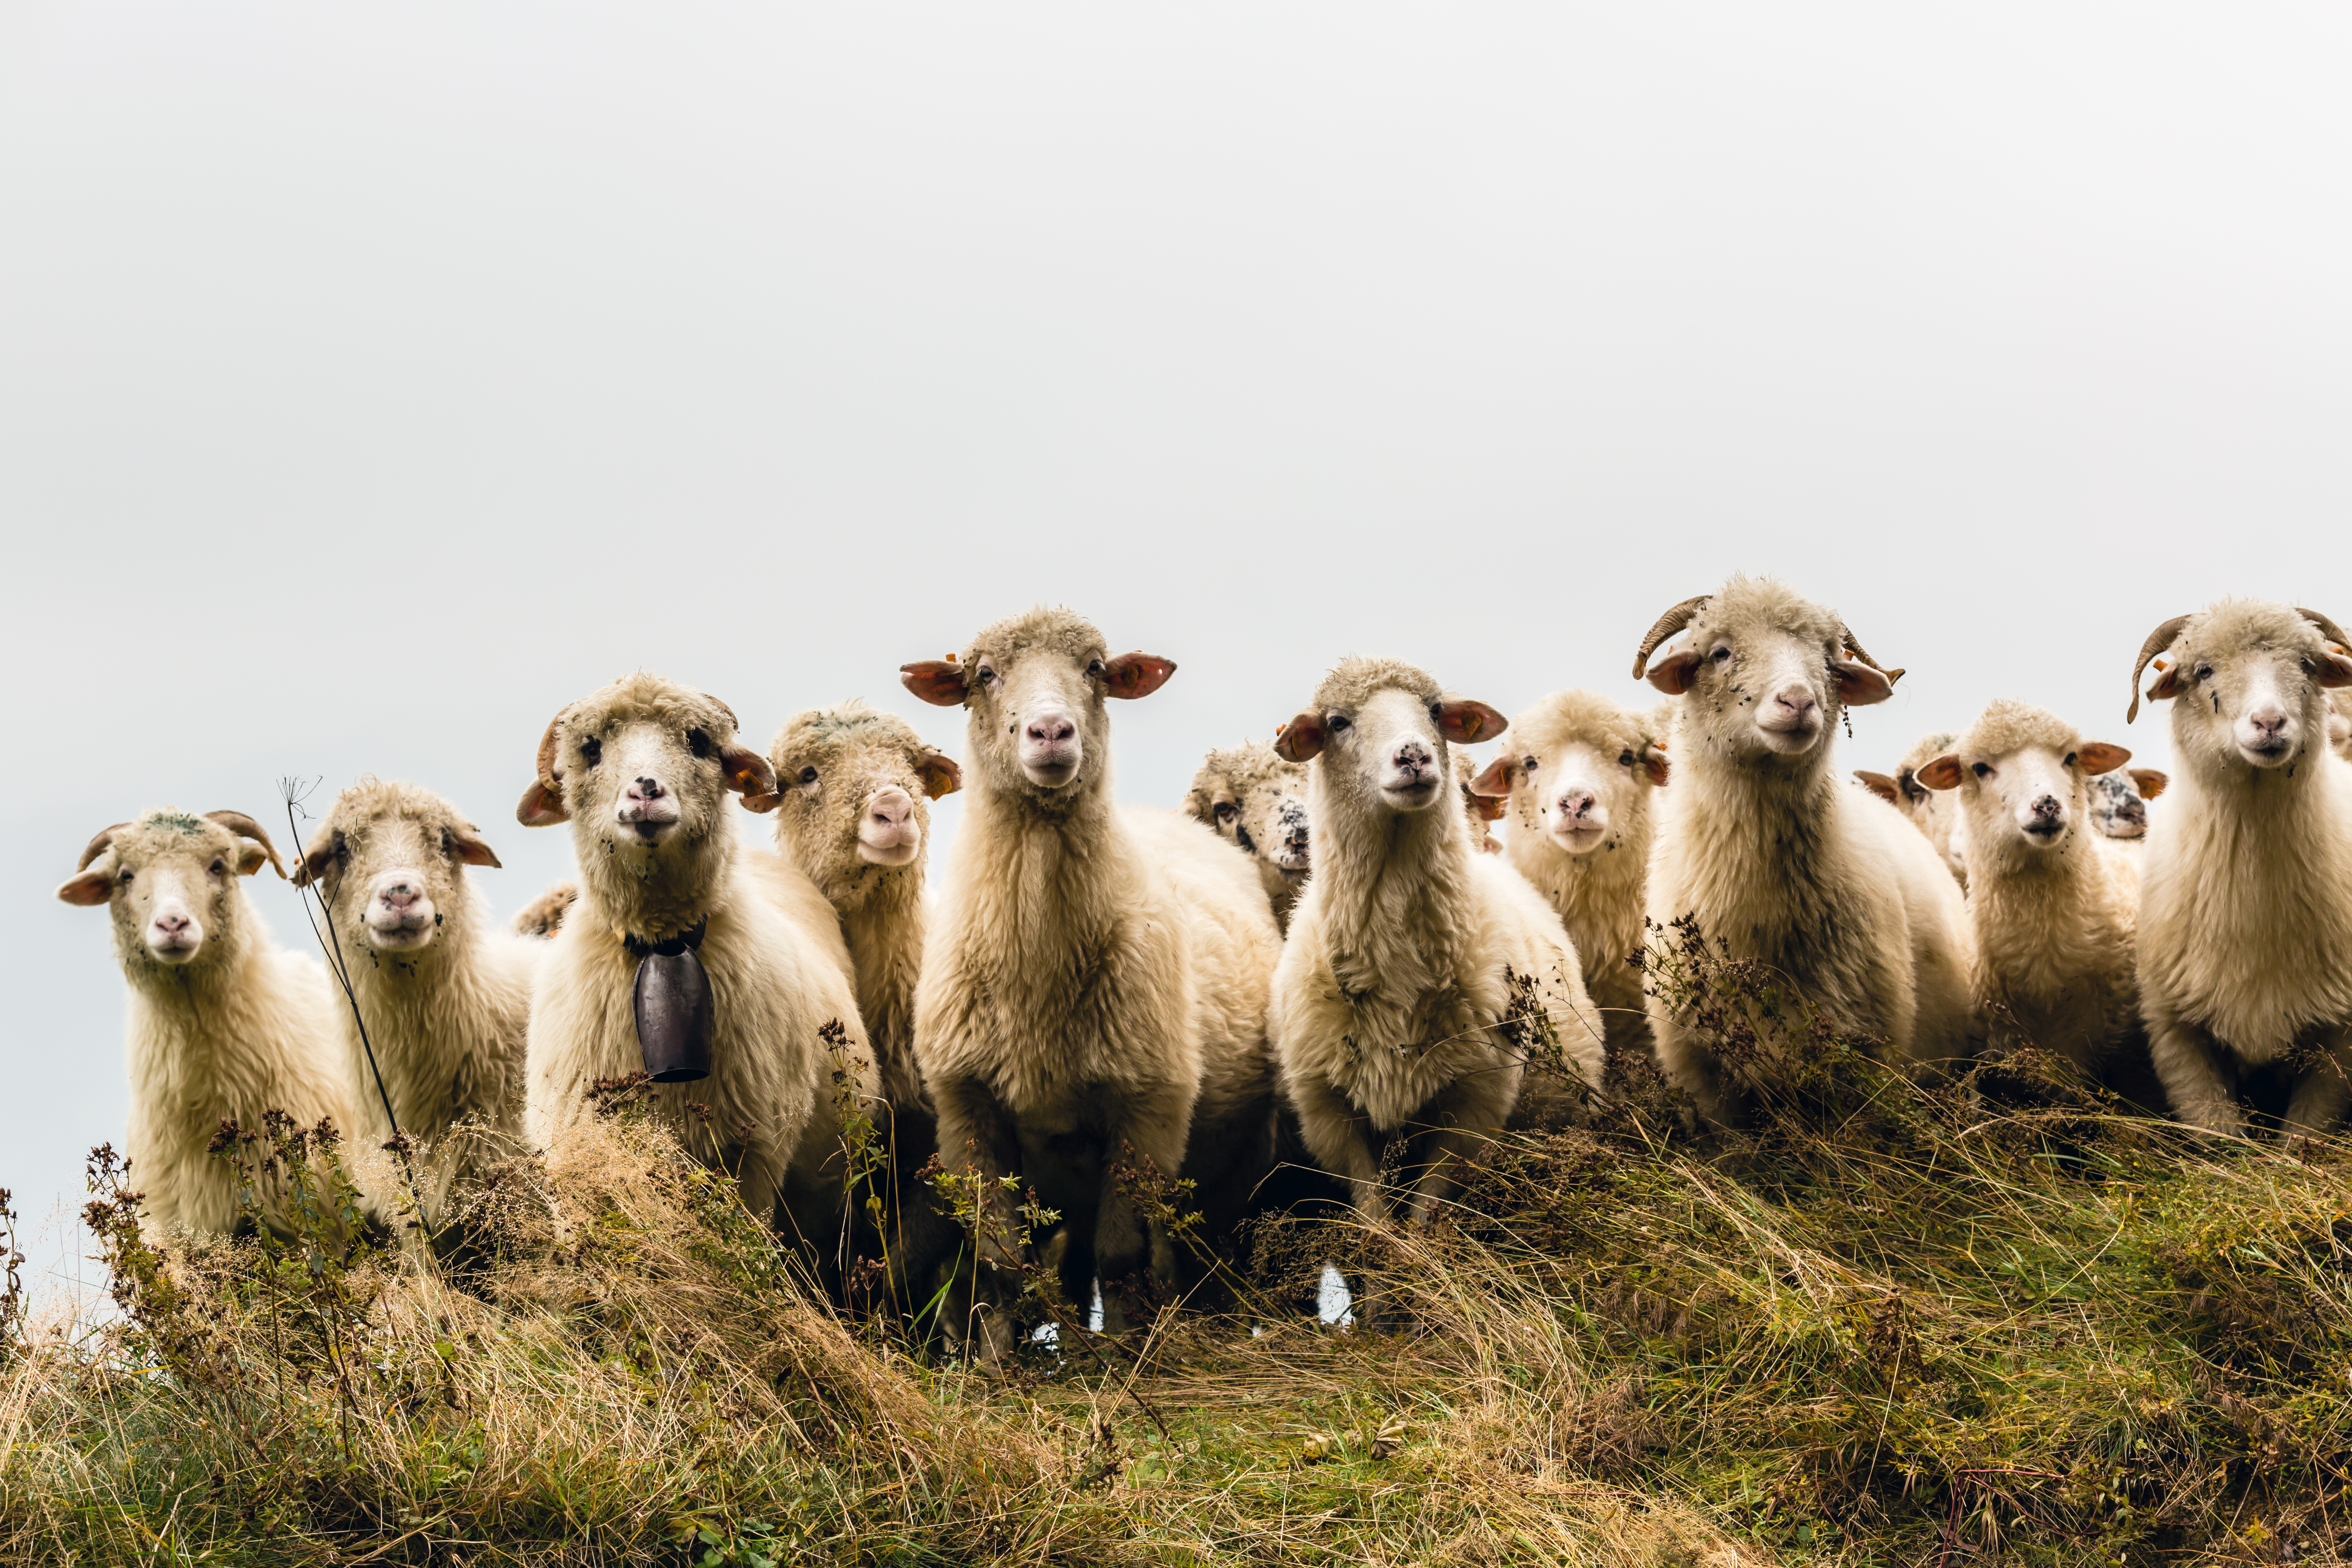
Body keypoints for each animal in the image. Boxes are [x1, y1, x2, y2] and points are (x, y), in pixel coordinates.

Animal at [515, 673, 879, 1269]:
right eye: (590, 749)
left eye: (699, 742)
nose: (645, 791)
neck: (662, 939)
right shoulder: (575, 1158)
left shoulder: (751, 1156)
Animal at [900, 609, 1282, 1340]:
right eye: (984, 675)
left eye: (1096, 669)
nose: (1051, 732)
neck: (1039, 975)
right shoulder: (969, 1114)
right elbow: (999, 1266)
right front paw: (1000, 1362)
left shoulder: (1148, 1110)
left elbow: (1123, 1258)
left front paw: (1128, 1356)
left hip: (1235, 1163)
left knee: (1206, 1261)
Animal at [1269, 657, 1603, 1245]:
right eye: (1337, 722)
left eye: (1436, 709)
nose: (1414, 756)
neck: (1398, 961)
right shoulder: (1330, 1113)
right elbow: (1373, 1215)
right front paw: (1382, 1263)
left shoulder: (1473, 1104)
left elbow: (1427, 1213)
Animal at [2125, 601, 2352, 1137]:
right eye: (2204, 670)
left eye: (2308, 665)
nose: (2269, 722)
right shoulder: (2176, 1030)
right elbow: (2221, 1139)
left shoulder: (2339, 1039)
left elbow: (2302, 1141)